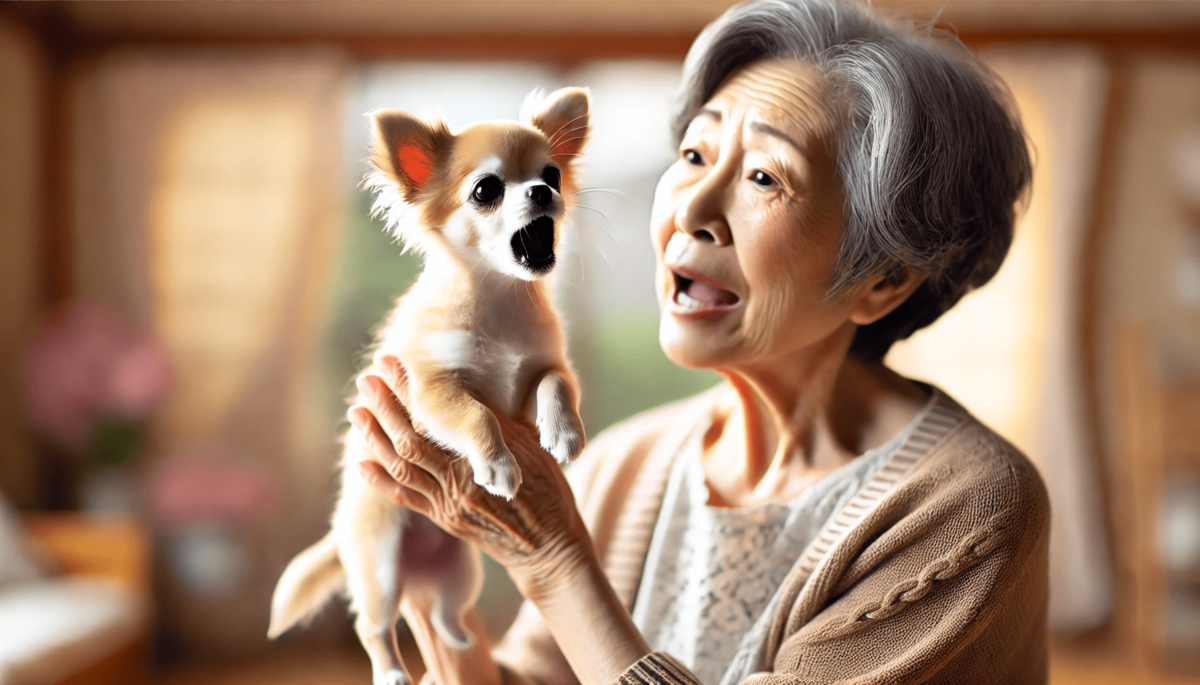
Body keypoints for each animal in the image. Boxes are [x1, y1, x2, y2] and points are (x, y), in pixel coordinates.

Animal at [271, 86, 590, 685]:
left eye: (553, 175)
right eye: (487, 190)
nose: (542, 192)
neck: (499, 298)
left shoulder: (545, 364)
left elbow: (554, 386)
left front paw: (563, 434)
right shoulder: (431, 388)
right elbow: (475, 413)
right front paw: (497, 464)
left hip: (462, 570)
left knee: (445, 613)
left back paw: (458, 639)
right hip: (378, 566)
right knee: (373, 625)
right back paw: (392, 672)